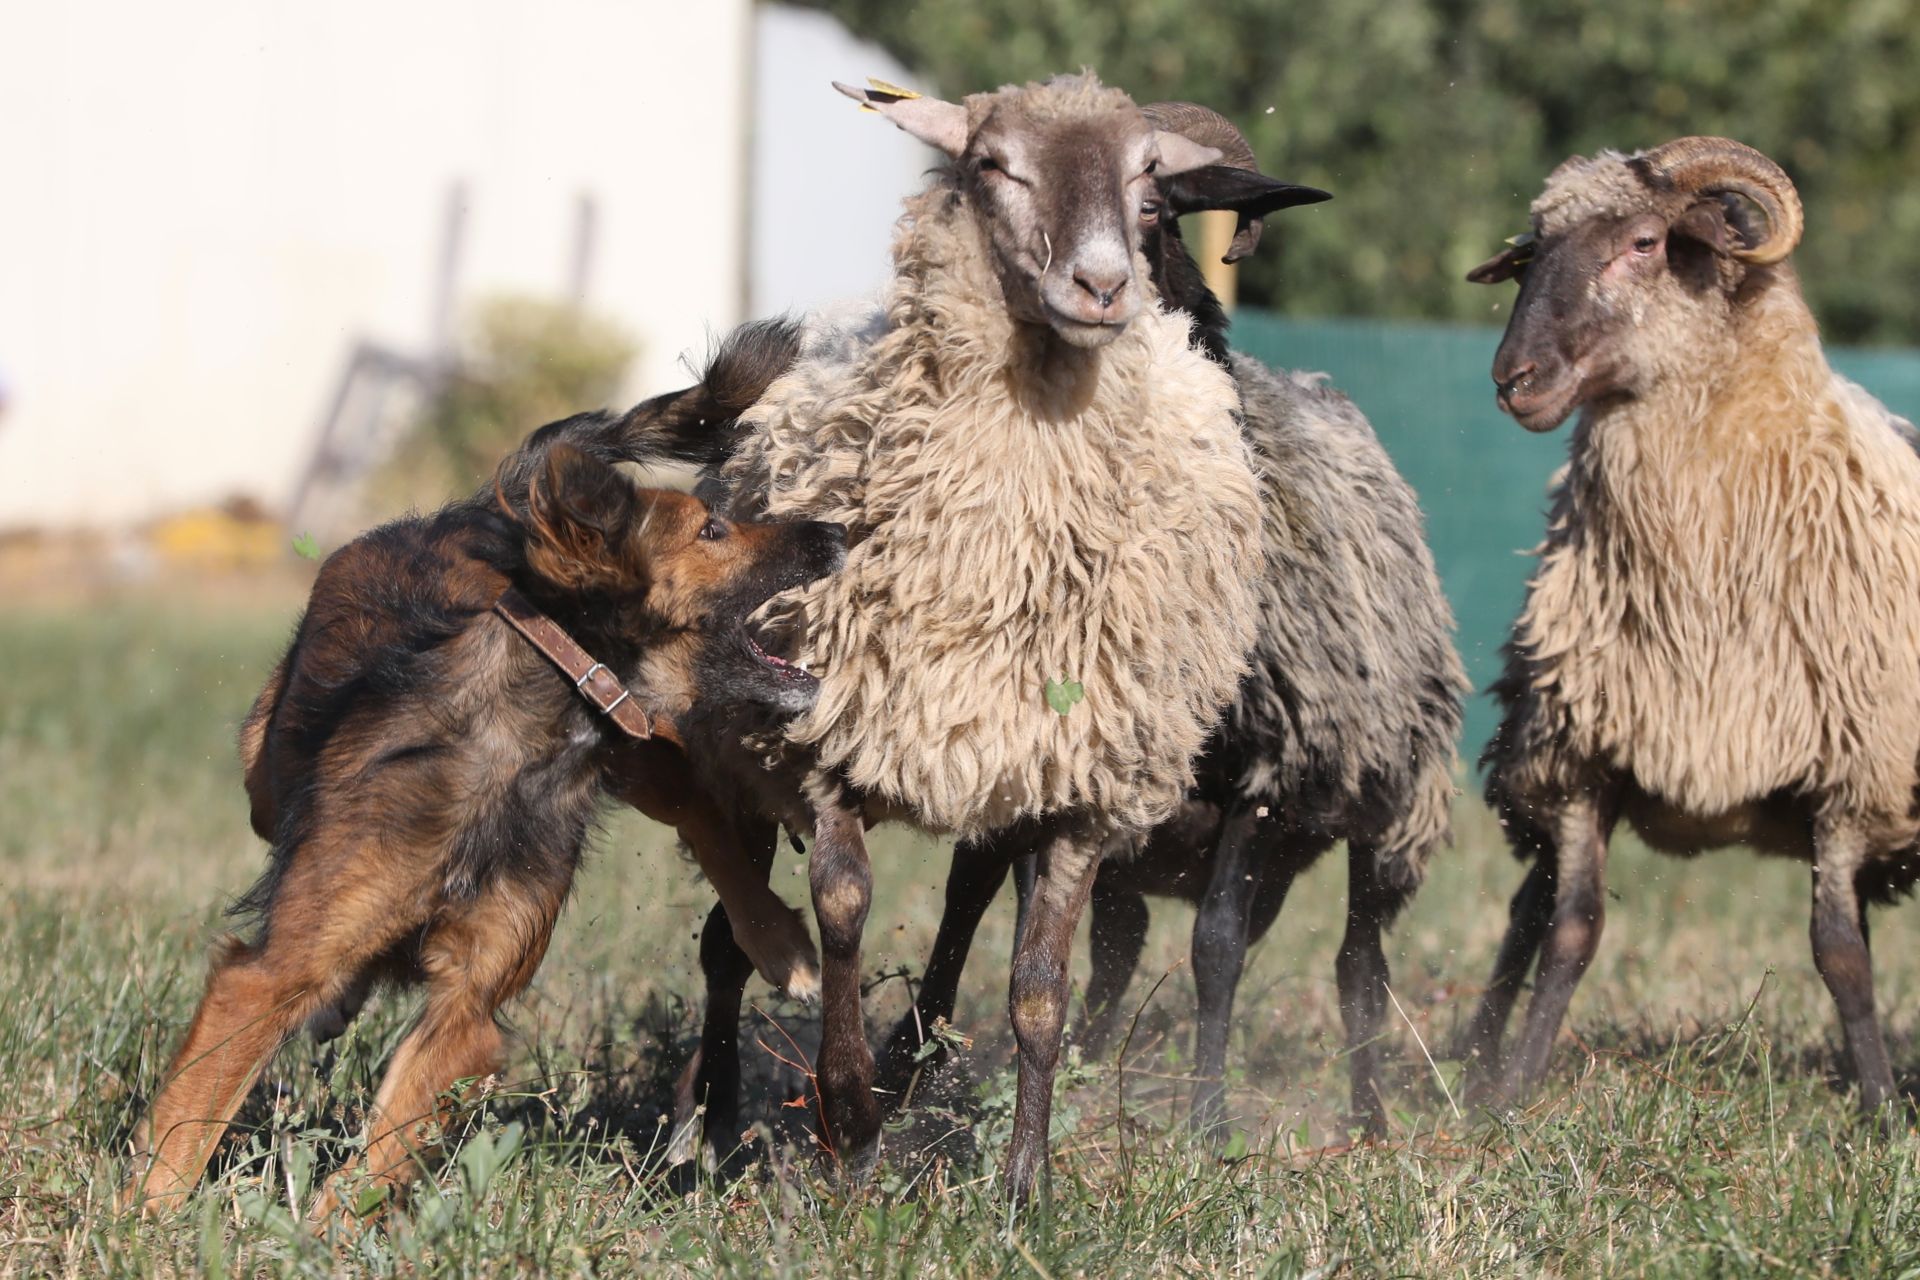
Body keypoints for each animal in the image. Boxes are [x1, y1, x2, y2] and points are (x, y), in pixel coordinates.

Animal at [118, 441, 840, 1220]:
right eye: (712, 530)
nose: (834, 532)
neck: (527, 737)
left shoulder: (468, 1006)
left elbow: (378, 1158)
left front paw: (323, 1232)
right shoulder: (268, 977)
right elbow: (194, 1114)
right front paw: (143, 1221)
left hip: (646, 754)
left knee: (704, 818)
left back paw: (781, 944)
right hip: (262, 761)